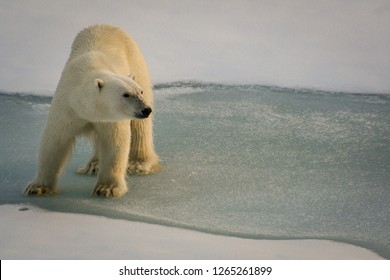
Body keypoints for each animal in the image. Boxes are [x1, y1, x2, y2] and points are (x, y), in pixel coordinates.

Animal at [23, 25, 160, 198]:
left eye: (139, 92)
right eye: (126, 94)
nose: (145, 109)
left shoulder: (111, 119)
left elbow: (115, 142)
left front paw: (107, 188)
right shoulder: (67, 107)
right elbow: (54, 141)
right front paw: (37, 187)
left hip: (136, 62)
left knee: (140, 129)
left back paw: (138, 164)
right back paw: (93, 165)